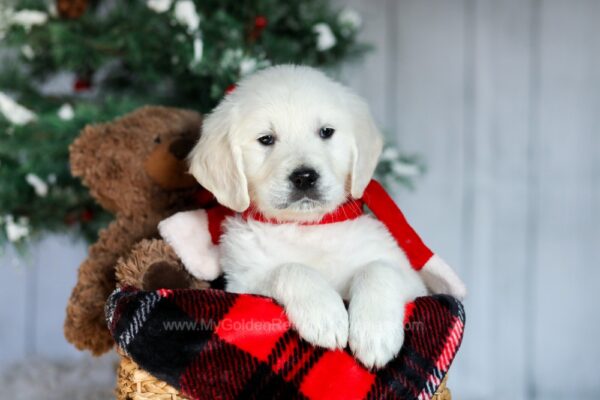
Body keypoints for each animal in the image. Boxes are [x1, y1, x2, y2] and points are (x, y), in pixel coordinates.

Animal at [165, 65, 426, 368]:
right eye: (266, 139)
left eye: (326, 132)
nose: (304, 177)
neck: (306, 227)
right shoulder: (244, 283)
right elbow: (290, 269)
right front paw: (325, 314)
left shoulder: (415, 283)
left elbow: (379, 269)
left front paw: (375, 333)